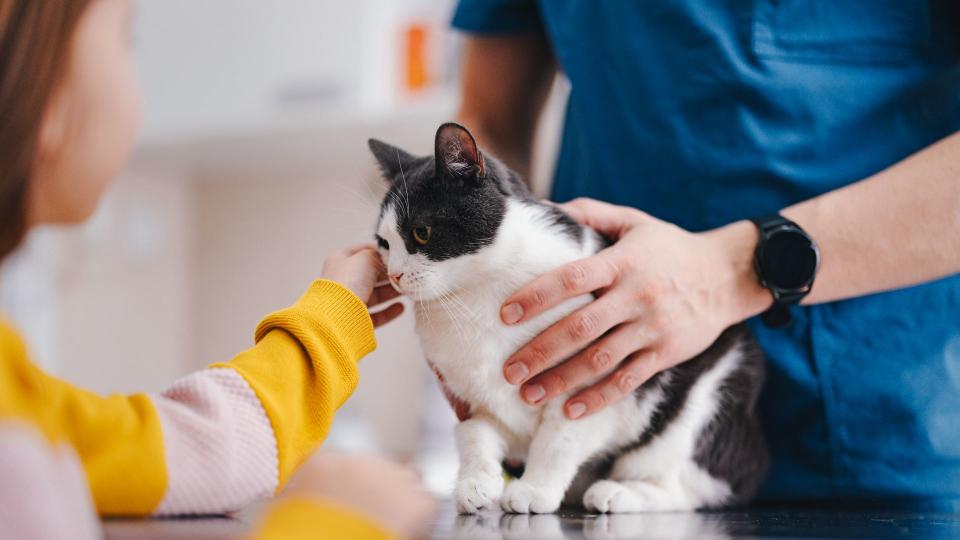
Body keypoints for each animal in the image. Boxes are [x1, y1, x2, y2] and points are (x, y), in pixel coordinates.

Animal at [368, 123, 764, 516]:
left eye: (421, 232)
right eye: (383, 243)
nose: (394, 275)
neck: (474, 296)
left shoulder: (592, 387)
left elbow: (558, 439)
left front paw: (534, 490)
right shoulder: (482, 404)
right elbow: (473, 435)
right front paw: (475, 482)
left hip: (702, 405)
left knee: (691, 487)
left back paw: (619, 493)